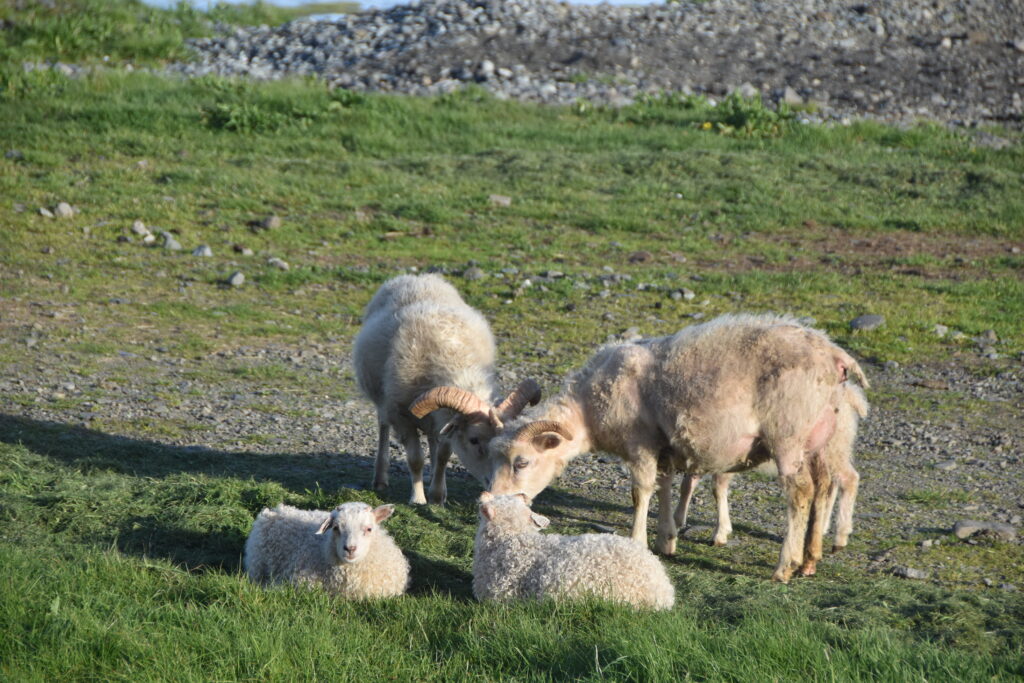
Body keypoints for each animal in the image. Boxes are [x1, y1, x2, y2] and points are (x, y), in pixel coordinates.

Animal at [352, 274, 540, 505]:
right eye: (474, 440)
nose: (493, 484)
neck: (450, 360)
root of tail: (416, 277)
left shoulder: (448, 420)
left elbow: (442, 456)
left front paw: (437, 495)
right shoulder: (401, 417)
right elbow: (415, 459)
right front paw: (418, 498)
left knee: (433, 439)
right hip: (383, 401)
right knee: (383, 428)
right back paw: (380, 479)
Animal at [675, 382, 868, 565]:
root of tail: (852, 393)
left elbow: (717, 488)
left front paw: (720, 532)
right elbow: (687, 485)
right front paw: (678, 520)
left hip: (834, 446)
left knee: (849, 479)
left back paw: (840, 537)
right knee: (831, 484)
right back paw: (823, 528)